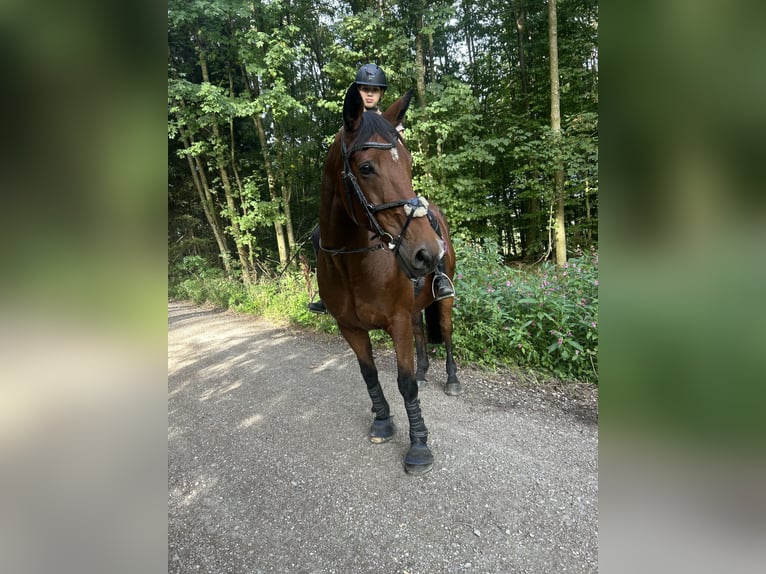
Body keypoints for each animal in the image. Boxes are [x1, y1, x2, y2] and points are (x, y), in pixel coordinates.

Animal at [317, 84, 462, 475]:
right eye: (366, 168)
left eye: (409, 164)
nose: (428, 253)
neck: (352, 262)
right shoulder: (349, 327)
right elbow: (370, 376)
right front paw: (382, 421)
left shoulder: (395, 321)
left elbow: (405, 384)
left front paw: (419, 446)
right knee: (421, 330)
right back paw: (426, 369)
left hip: (444, 298)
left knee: (445, 332)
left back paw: (452, 380)